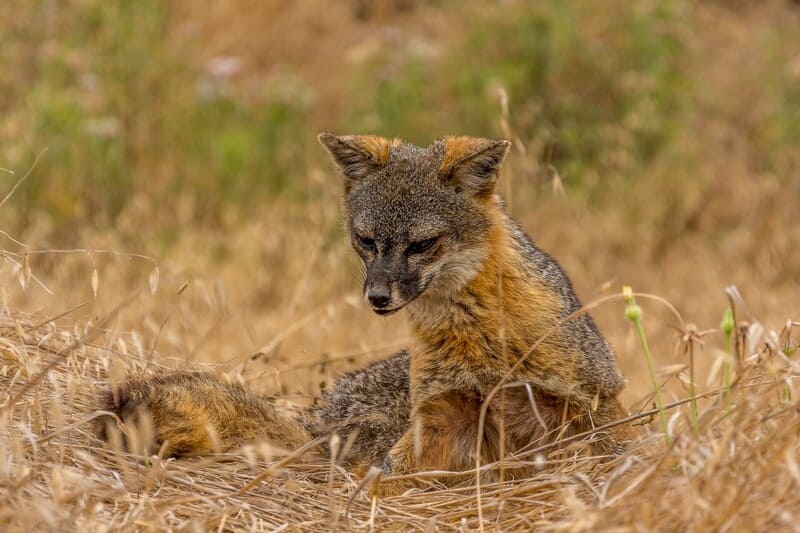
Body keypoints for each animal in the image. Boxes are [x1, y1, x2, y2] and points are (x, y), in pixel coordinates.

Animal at [100, 133, 628, 478]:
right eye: (366, 240)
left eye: (422, 244)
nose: (376, 297)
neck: (478, 337)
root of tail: (320, 418)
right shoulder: (440, 413)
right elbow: (393, 476)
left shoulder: (590, 404)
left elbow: (612, 450)